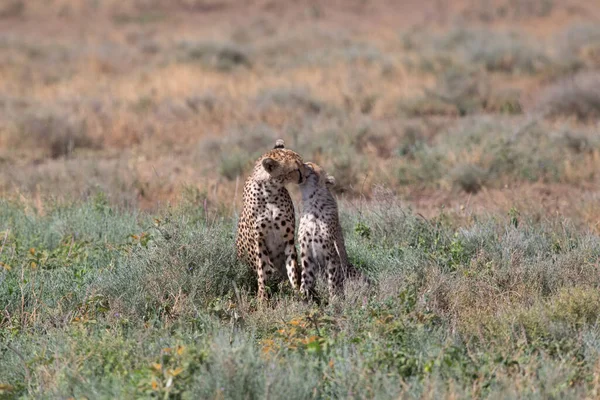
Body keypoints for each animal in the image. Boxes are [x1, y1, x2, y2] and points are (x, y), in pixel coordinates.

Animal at [236, 139, 308, 298]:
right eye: (296, 169)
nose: (306, 176)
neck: (269, 191)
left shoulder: (288, 239)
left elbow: (292, 269)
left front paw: (297, 293)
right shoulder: (259, 241)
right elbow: (262, 271)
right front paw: (262, 298)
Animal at [298, 162, 364, 300]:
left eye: (310, 166)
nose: (302, 164)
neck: (312, 203)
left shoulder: (331, 252)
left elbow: (333, 280)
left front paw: (334, 300)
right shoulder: (306, 253)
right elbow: (306, 279)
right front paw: (301, 299)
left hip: (352, 270)